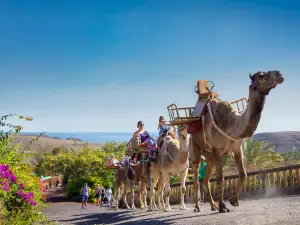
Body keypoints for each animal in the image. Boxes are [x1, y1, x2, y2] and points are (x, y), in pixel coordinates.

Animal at [189, 70, 284, 213]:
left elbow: (243, 174)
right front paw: (223, 206)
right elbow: (220, 178)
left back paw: (212, 205)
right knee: (195, 177)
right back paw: (197, 207)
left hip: (208, 154)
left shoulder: (237, 148)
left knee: (205, 180)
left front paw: (233, 201)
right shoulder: (217, 150)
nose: (279, 74)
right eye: (261, 75)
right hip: (194, 146)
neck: (231, 124)